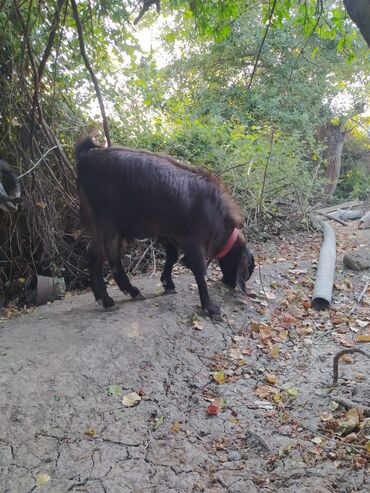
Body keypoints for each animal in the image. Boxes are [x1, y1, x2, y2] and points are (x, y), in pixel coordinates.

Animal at [75, 137, 254, 320]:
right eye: (249, 268)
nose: (231, 284)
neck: (216, 211)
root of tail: (85, 158)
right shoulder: (194, 241)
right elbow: (200, 271)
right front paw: (210, 307)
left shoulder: (168, 232)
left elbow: (172, 256)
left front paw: (168, 283)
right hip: (107, 223)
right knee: (96, 256)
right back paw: (106, 299)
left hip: (118, 227)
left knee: (113, 257)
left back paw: (132, 291)